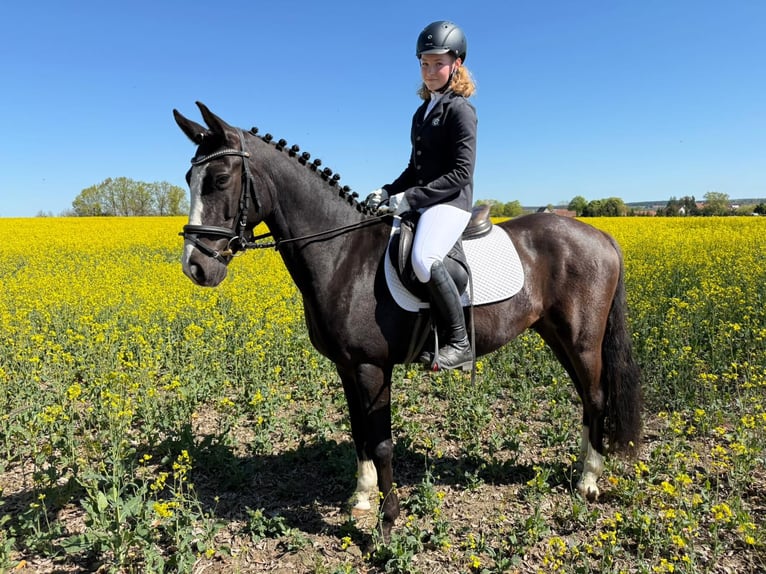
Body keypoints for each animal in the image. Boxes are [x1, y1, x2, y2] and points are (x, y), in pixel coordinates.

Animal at [172, 102, 642, 540]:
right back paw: (582, 468)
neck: (343, 255)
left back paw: (588, 481)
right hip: (555, 335)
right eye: (189, 179)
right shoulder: (347, 366)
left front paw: (387, 520)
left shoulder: (372, 367)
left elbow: (381, 442)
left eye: (219, 180)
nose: (196, 267)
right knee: (586, 397)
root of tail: (600, 235)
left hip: (581, 339)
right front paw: (361, 498)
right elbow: (358, 430)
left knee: (596, 395)